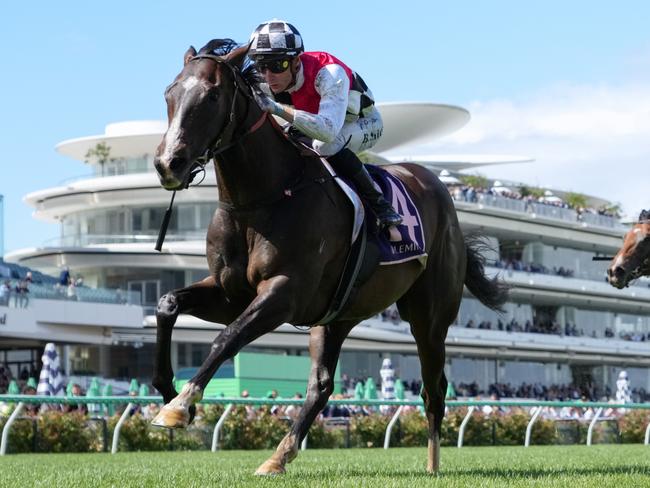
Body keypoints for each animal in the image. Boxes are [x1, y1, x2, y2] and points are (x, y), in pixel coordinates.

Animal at [151, 40, 506, 474]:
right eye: (169, 94)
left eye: (213, 95)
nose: (168, 163)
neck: (262, 199)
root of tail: (438, 188)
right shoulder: (230, 293)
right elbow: (168, 304)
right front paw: (166, 389)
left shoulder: (284, 294)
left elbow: (226, 338)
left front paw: (181, 405)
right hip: (337, 316)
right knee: (321, 385)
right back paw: (278, 456)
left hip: (429, 316)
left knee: (433, 387)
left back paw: (432, 464)